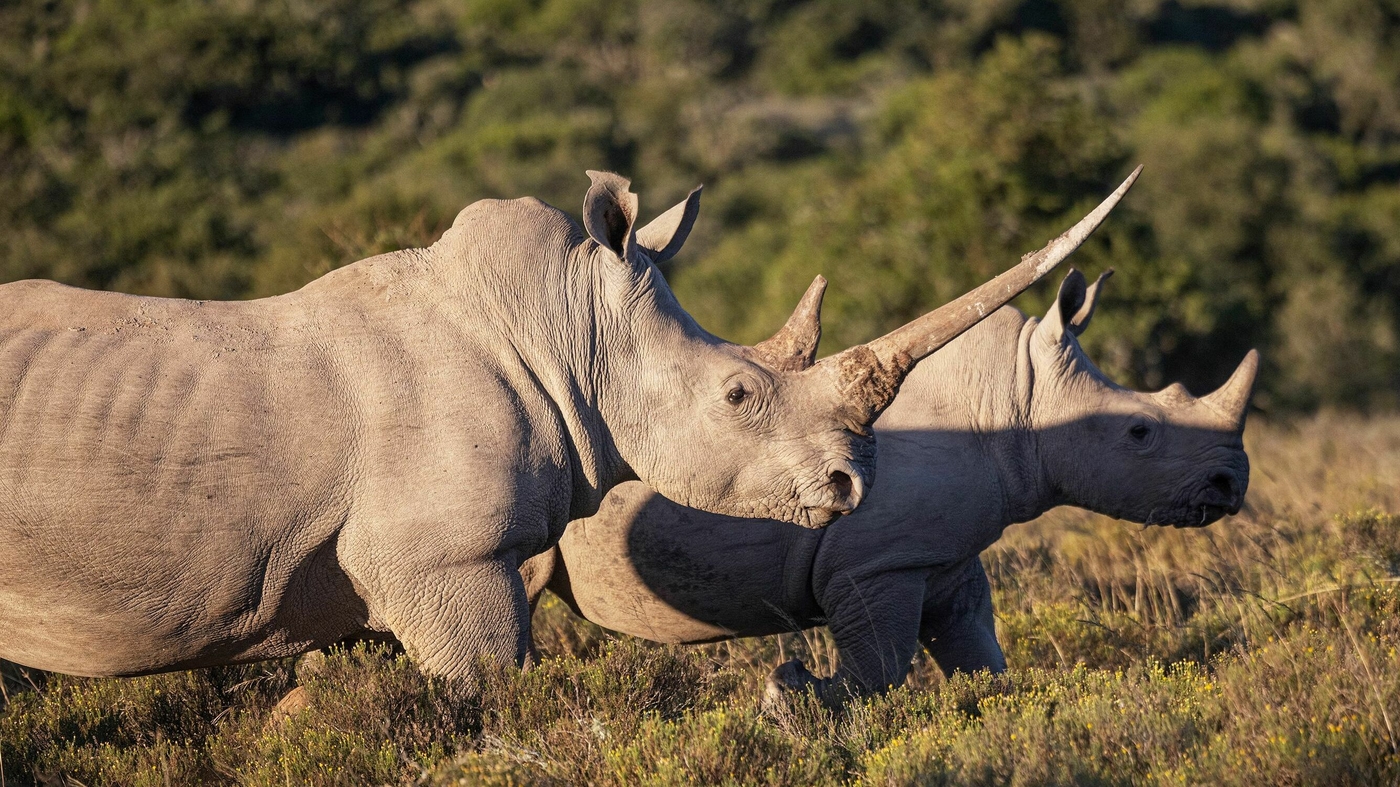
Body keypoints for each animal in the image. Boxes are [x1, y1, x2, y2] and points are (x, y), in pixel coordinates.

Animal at [523, 267, 1257, 702]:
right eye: (1140, 432)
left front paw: (994, 712)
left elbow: (977, 651)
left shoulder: (941, 556)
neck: (1018, 399)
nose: (1231, 483)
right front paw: (794, 699)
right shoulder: (875, 562)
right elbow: (879, 663)